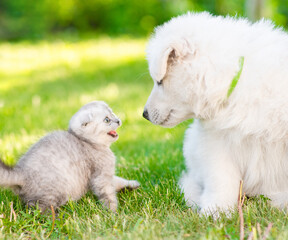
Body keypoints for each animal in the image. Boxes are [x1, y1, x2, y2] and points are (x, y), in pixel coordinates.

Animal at [0, 101, 140, 212]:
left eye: (113, 113)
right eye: (107, 120)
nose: (118, 120)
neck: (89, 143)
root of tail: (21, 172)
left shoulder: (107, 176)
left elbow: (118, 180)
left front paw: (131, 184)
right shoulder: (101, 177)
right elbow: (108, 195)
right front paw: (113, 213)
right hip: (54, 191)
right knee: (40, 209)